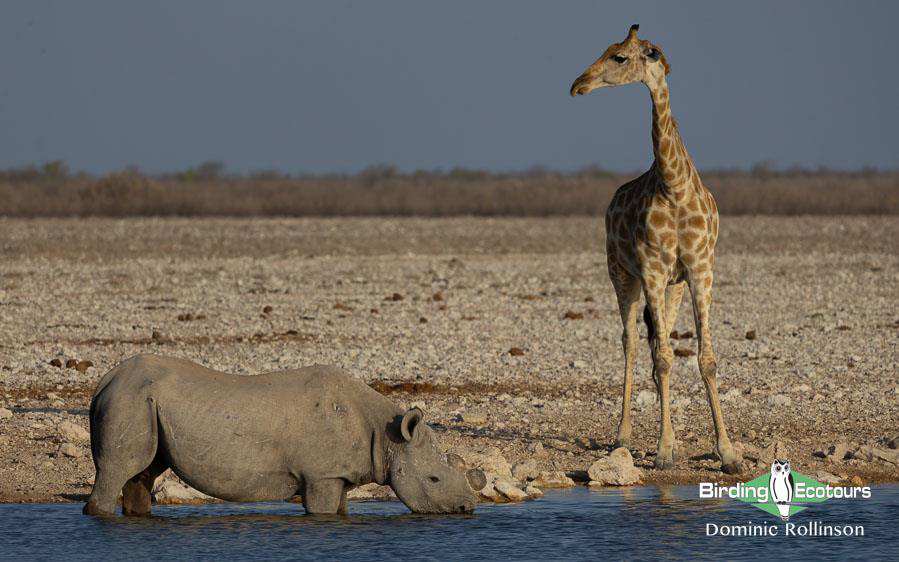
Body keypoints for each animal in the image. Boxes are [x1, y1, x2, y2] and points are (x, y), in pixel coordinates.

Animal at [572, 26, 740, 472]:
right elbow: (663, 358)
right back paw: (622, 435)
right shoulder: (650, 269)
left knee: (651, 346)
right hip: (621, 274)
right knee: (631, 344)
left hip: (672, 288)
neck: (674, 184)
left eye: (618, 57)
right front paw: (664, 450)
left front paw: (727, 452)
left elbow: (705, 359)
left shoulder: (700, 270)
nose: (578, 85)